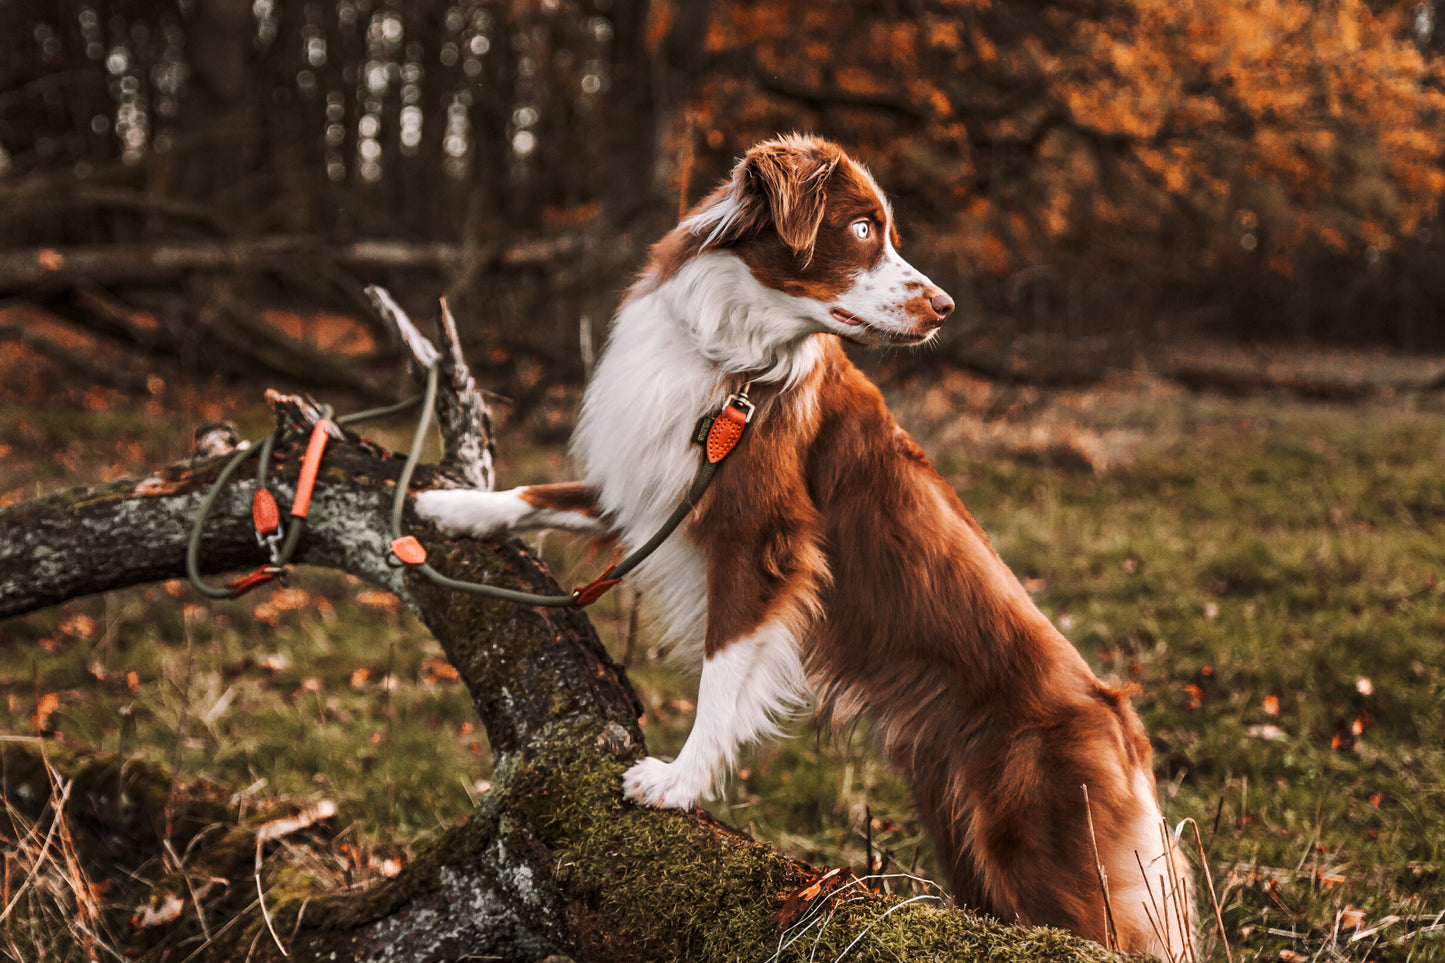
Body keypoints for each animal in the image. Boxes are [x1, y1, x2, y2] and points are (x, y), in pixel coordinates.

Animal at [419, 135, 1196, 954]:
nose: (946, 307)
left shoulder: (762, 540)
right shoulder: (655, 482)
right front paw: (448, 506)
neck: (734, 354)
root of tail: (1123, 721)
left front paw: (677, 782)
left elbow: (721, 673)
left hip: (1053, 860)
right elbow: (542, 495)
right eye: (860, 229)